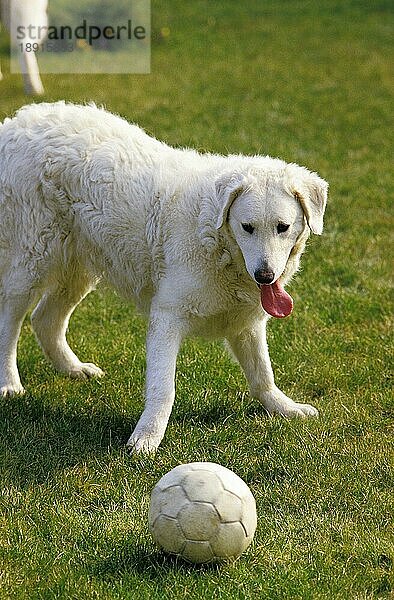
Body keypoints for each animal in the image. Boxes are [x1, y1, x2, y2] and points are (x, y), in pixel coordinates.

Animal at [0, 103, 328, 452]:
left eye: (282, 227)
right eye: (247, 227)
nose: (265, 276)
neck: (215, 239)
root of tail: (18, 121)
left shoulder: (246, 322)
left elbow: (262, 375)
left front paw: (284, 408)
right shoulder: (167, 316)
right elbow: (163, 388)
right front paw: (146, 439)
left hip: (79, 265)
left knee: (45, 319)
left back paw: (73, 369)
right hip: (32, 256)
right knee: (11, 320)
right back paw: (9, 383)